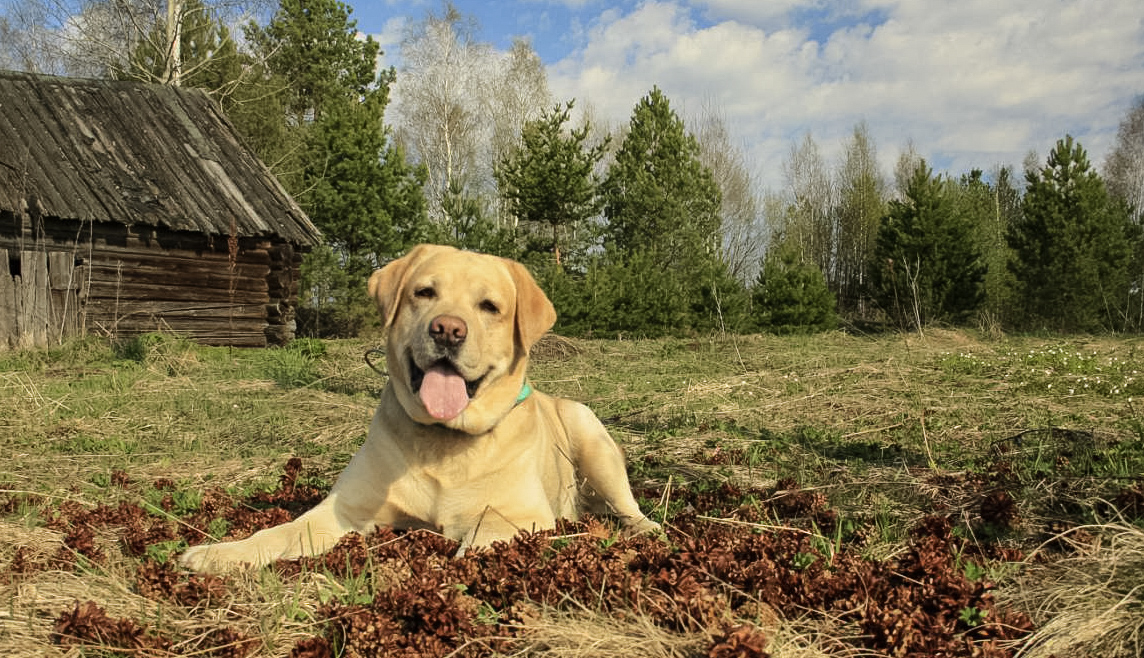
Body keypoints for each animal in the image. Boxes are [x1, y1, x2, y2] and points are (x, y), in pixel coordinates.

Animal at [181, 243, 658, 572]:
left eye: (490, 306)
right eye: (424, 292)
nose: (447, 329)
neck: (444, 441)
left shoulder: (524, 513)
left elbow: (486, 528)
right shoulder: (344, 510)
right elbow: (281, 531)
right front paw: (220, 554)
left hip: (590, 436)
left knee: (627, 506)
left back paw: (647, 530)